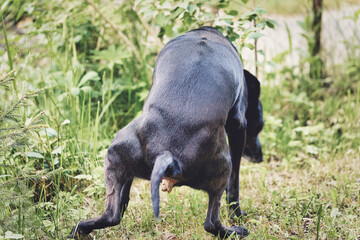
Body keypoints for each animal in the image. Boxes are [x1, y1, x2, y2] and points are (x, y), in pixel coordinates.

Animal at [69, 26, 262, 238]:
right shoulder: (238, 125)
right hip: (223, 169)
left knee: (112, 215)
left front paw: (124, 201)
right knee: (211, 222)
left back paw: (80, 228)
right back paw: (236, 231)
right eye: (259, 125)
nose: (259, 157)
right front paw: (237, 213)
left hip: (114, 155)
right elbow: (234, 185)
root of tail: (167, 155)